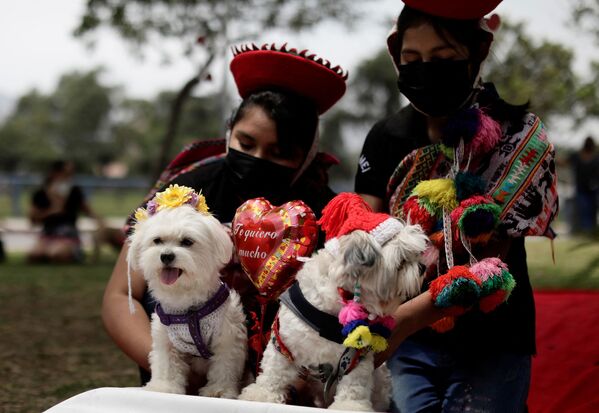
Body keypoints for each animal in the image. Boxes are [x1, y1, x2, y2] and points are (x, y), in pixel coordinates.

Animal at [126, 203, 248, 396]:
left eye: (187, 242)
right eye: (157, 241)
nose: (166, 256)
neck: (187, 308)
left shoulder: (227, 337)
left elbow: (224, 366)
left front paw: (218, 391)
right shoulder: (166, 340)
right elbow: (167, 365)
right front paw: (164, 387)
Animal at [238, 192, 426, 408]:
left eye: (416, 254)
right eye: (401, 262)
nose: (423, 268)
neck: (335, 308)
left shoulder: (356, 357)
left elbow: (354, 387)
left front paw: (350, 407)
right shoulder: (284, 342)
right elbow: (274, 371)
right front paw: (262, 394)